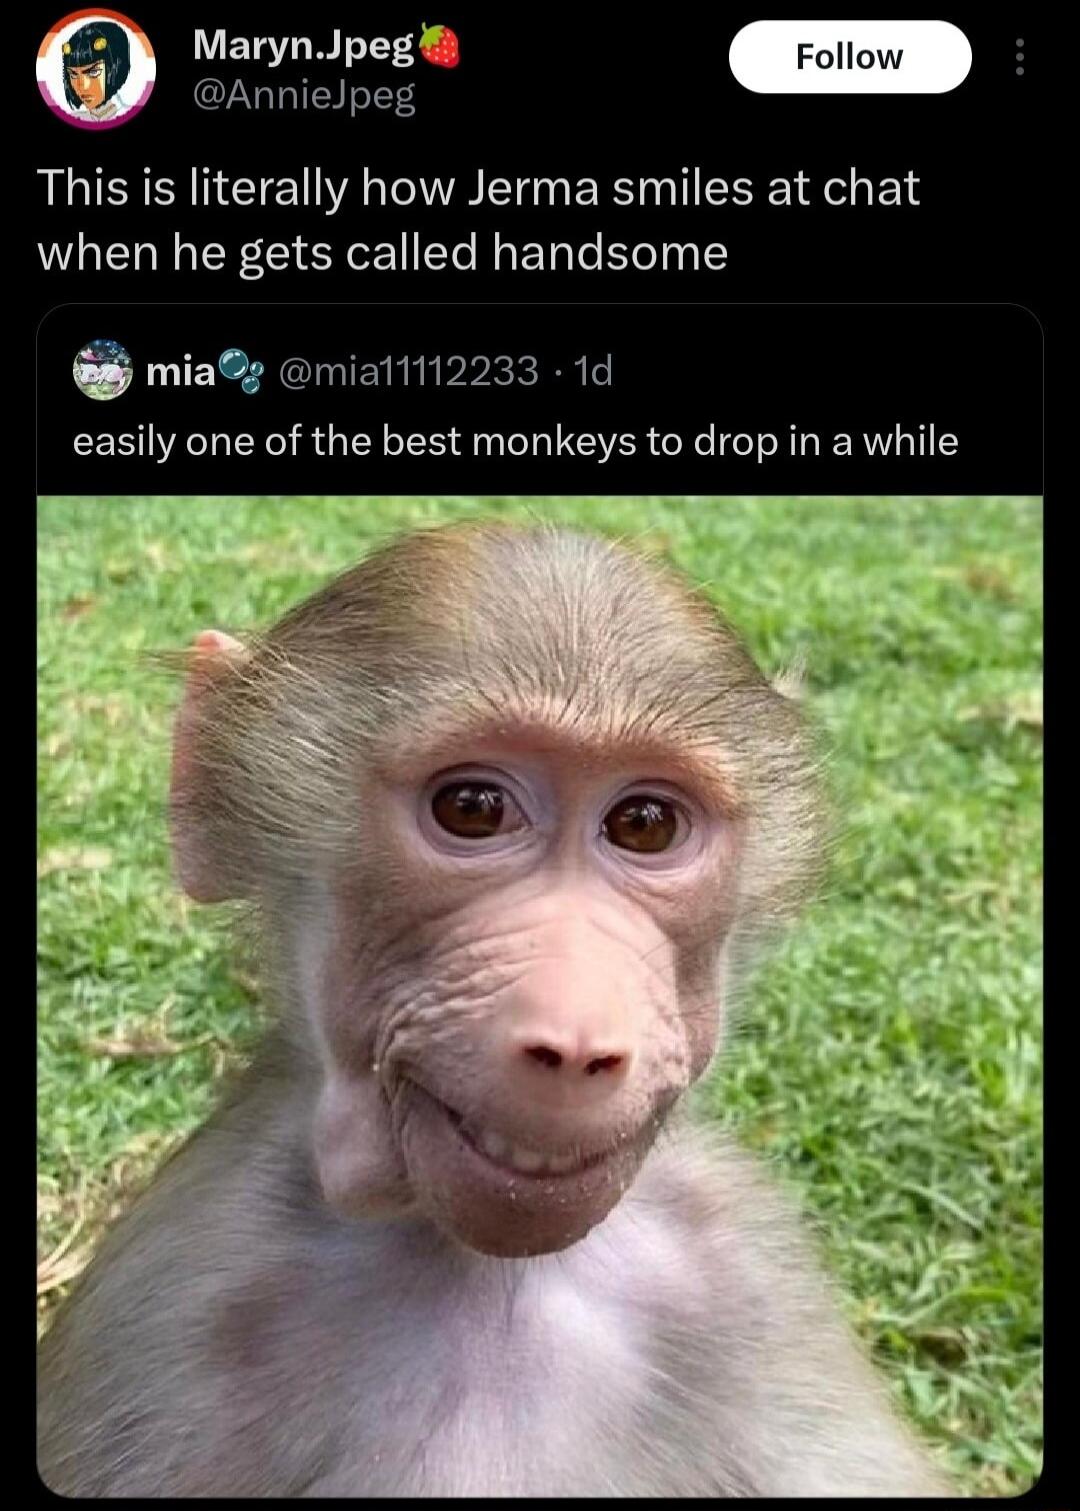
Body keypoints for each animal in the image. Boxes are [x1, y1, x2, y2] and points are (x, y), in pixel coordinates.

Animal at [37, 522, 950, 1497]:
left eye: (645, 825)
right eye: (472, 809)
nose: (578, 1041)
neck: (483, 1271)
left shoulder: (748, 1273)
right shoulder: (181, 1294)